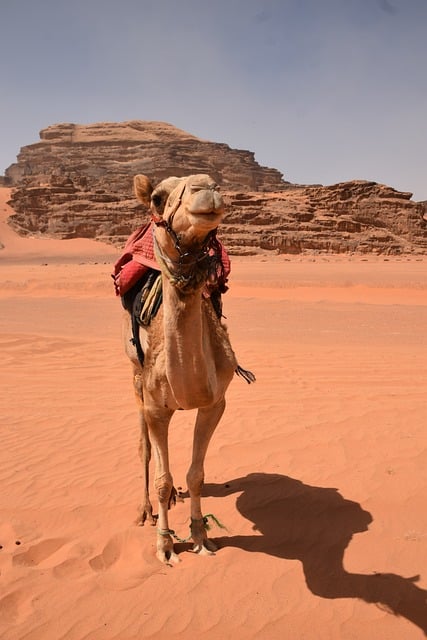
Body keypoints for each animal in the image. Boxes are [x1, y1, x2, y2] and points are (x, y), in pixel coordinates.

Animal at [122, 172, 246, 564]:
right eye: (158, 198)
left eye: (217, 183)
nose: (205, 188)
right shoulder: (154, 406)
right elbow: (161, 477)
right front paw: (164, 545)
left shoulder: (215, 403)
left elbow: (195, 476)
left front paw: (200, 536)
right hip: (135, 376)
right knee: (144, 446)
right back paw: (145, 511)